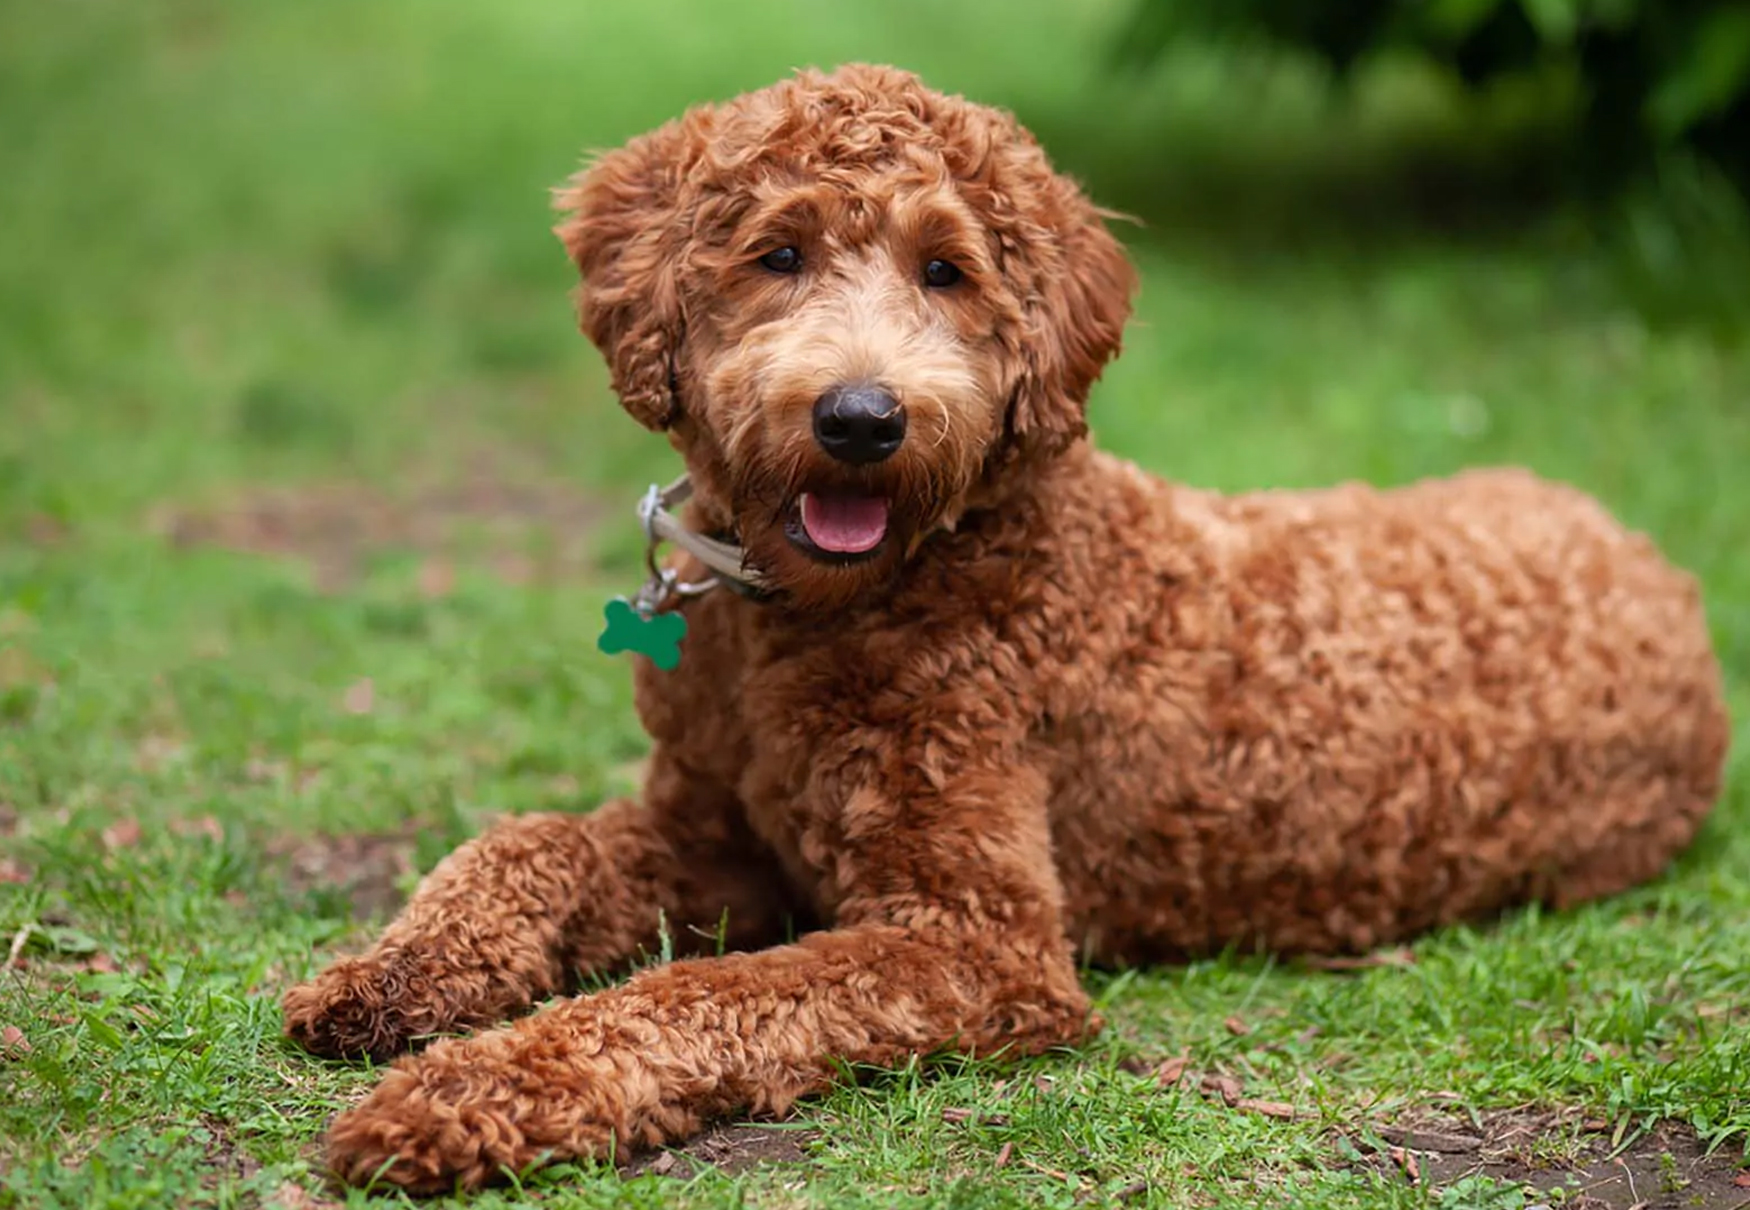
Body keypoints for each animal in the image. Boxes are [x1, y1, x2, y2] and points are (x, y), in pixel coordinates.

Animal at [280, 63, 1729, 1190]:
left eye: (946, 270)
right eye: (778, 253)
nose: (862, 418)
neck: (843, 604)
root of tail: (1648, 558)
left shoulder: (973, 937)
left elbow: (707, 991)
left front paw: (461, 1093)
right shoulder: (714, 832)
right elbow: (524, 843)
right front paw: (390, 974)